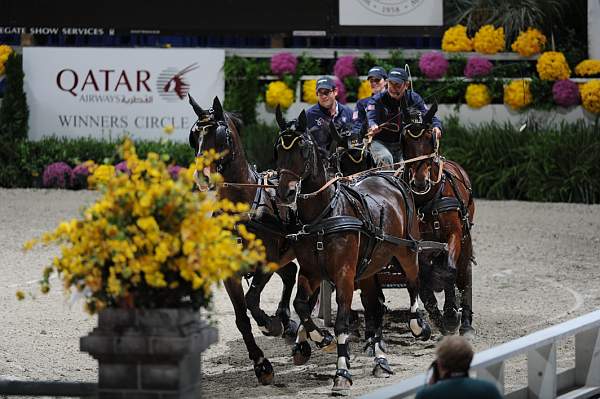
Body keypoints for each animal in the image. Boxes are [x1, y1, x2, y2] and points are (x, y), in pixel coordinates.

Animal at [189, 95, 298, 386]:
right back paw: (288, 322)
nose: (202, 175)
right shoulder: (230, 274)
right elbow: (241, 318)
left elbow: (252, 301)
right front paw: (261, 364)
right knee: (291, 274)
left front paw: (269, 324)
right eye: (194, 136)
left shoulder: (266, 263)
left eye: (220, 136)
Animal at [272, 108, 432, 396]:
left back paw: (418, 325)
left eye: (303, 148)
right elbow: (301, 305)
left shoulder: (344, 275)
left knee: (414, 282)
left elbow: (342, 323)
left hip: (407, 249)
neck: (325, 214)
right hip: (368, 269)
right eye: (278, 149)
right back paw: (380, 360)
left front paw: (342, 373)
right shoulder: (311, 272)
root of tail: (387, 177)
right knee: (375, 306)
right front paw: (320, 338)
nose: (284, 193)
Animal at [400, 101, 476, 336]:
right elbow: (423, 276)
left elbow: (450, 271)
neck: (427, 199)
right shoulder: (417, 244)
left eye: (429, 138)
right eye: (404, 140)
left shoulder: (454, 234)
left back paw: (465, 320)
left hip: (465, 237)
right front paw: (434, 311)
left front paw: (451, 314)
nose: (419, 182)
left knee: (462, 271)